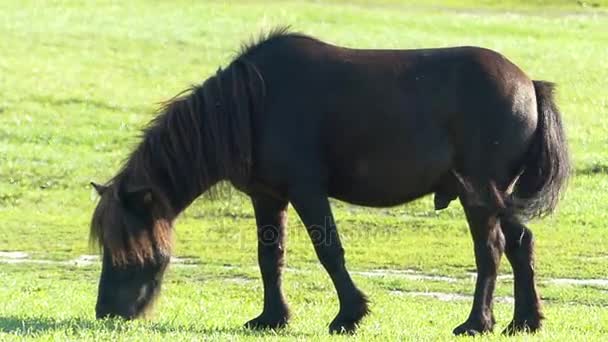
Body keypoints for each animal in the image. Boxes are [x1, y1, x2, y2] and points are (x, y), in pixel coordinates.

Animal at [90, 28, 568, 336]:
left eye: (129, 248)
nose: (105, 313)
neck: (252, 104)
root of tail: (529, 84)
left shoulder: (307, 191)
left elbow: (328, 250)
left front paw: (349, 315)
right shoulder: (268, 197)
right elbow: (270, 257)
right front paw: (271, 318)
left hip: (479, 194)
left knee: (491, 251)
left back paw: (476, 323)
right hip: (500, 197)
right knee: (521, 245)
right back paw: (523, 321)